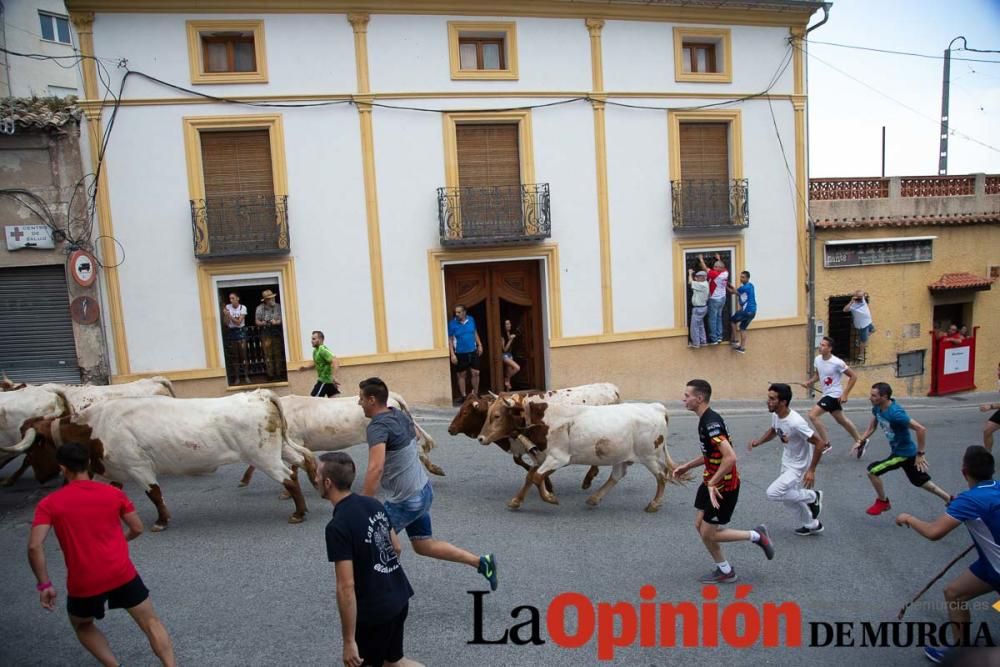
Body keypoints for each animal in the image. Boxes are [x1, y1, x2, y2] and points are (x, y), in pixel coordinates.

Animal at [1, 388, 314, 528]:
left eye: (33, 449)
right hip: (277, 449)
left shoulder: (137, 466)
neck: (96, 425)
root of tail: (259, 394)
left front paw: (161, 520)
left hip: (264, 456)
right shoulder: (112, 468)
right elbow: (114, 493)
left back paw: (299, 512)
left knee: (289, 477)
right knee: (302, 461)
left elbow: (153, 493)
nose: (43, 477)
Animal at [474, 396, 680, 512]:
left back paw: (654, 504)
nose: (481, 438)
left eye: (497, 416)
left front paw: (549, 498)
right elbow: (531, 477)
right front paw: (516, 501)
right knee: (617, 475)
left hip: (649, 456)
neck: (545, 420)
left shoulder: (558, 458)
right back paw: (594, 498)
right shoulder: (543, 457)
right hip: (621, 455)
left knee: (661, 477)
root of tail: (655, 407)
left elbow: (538, 477)